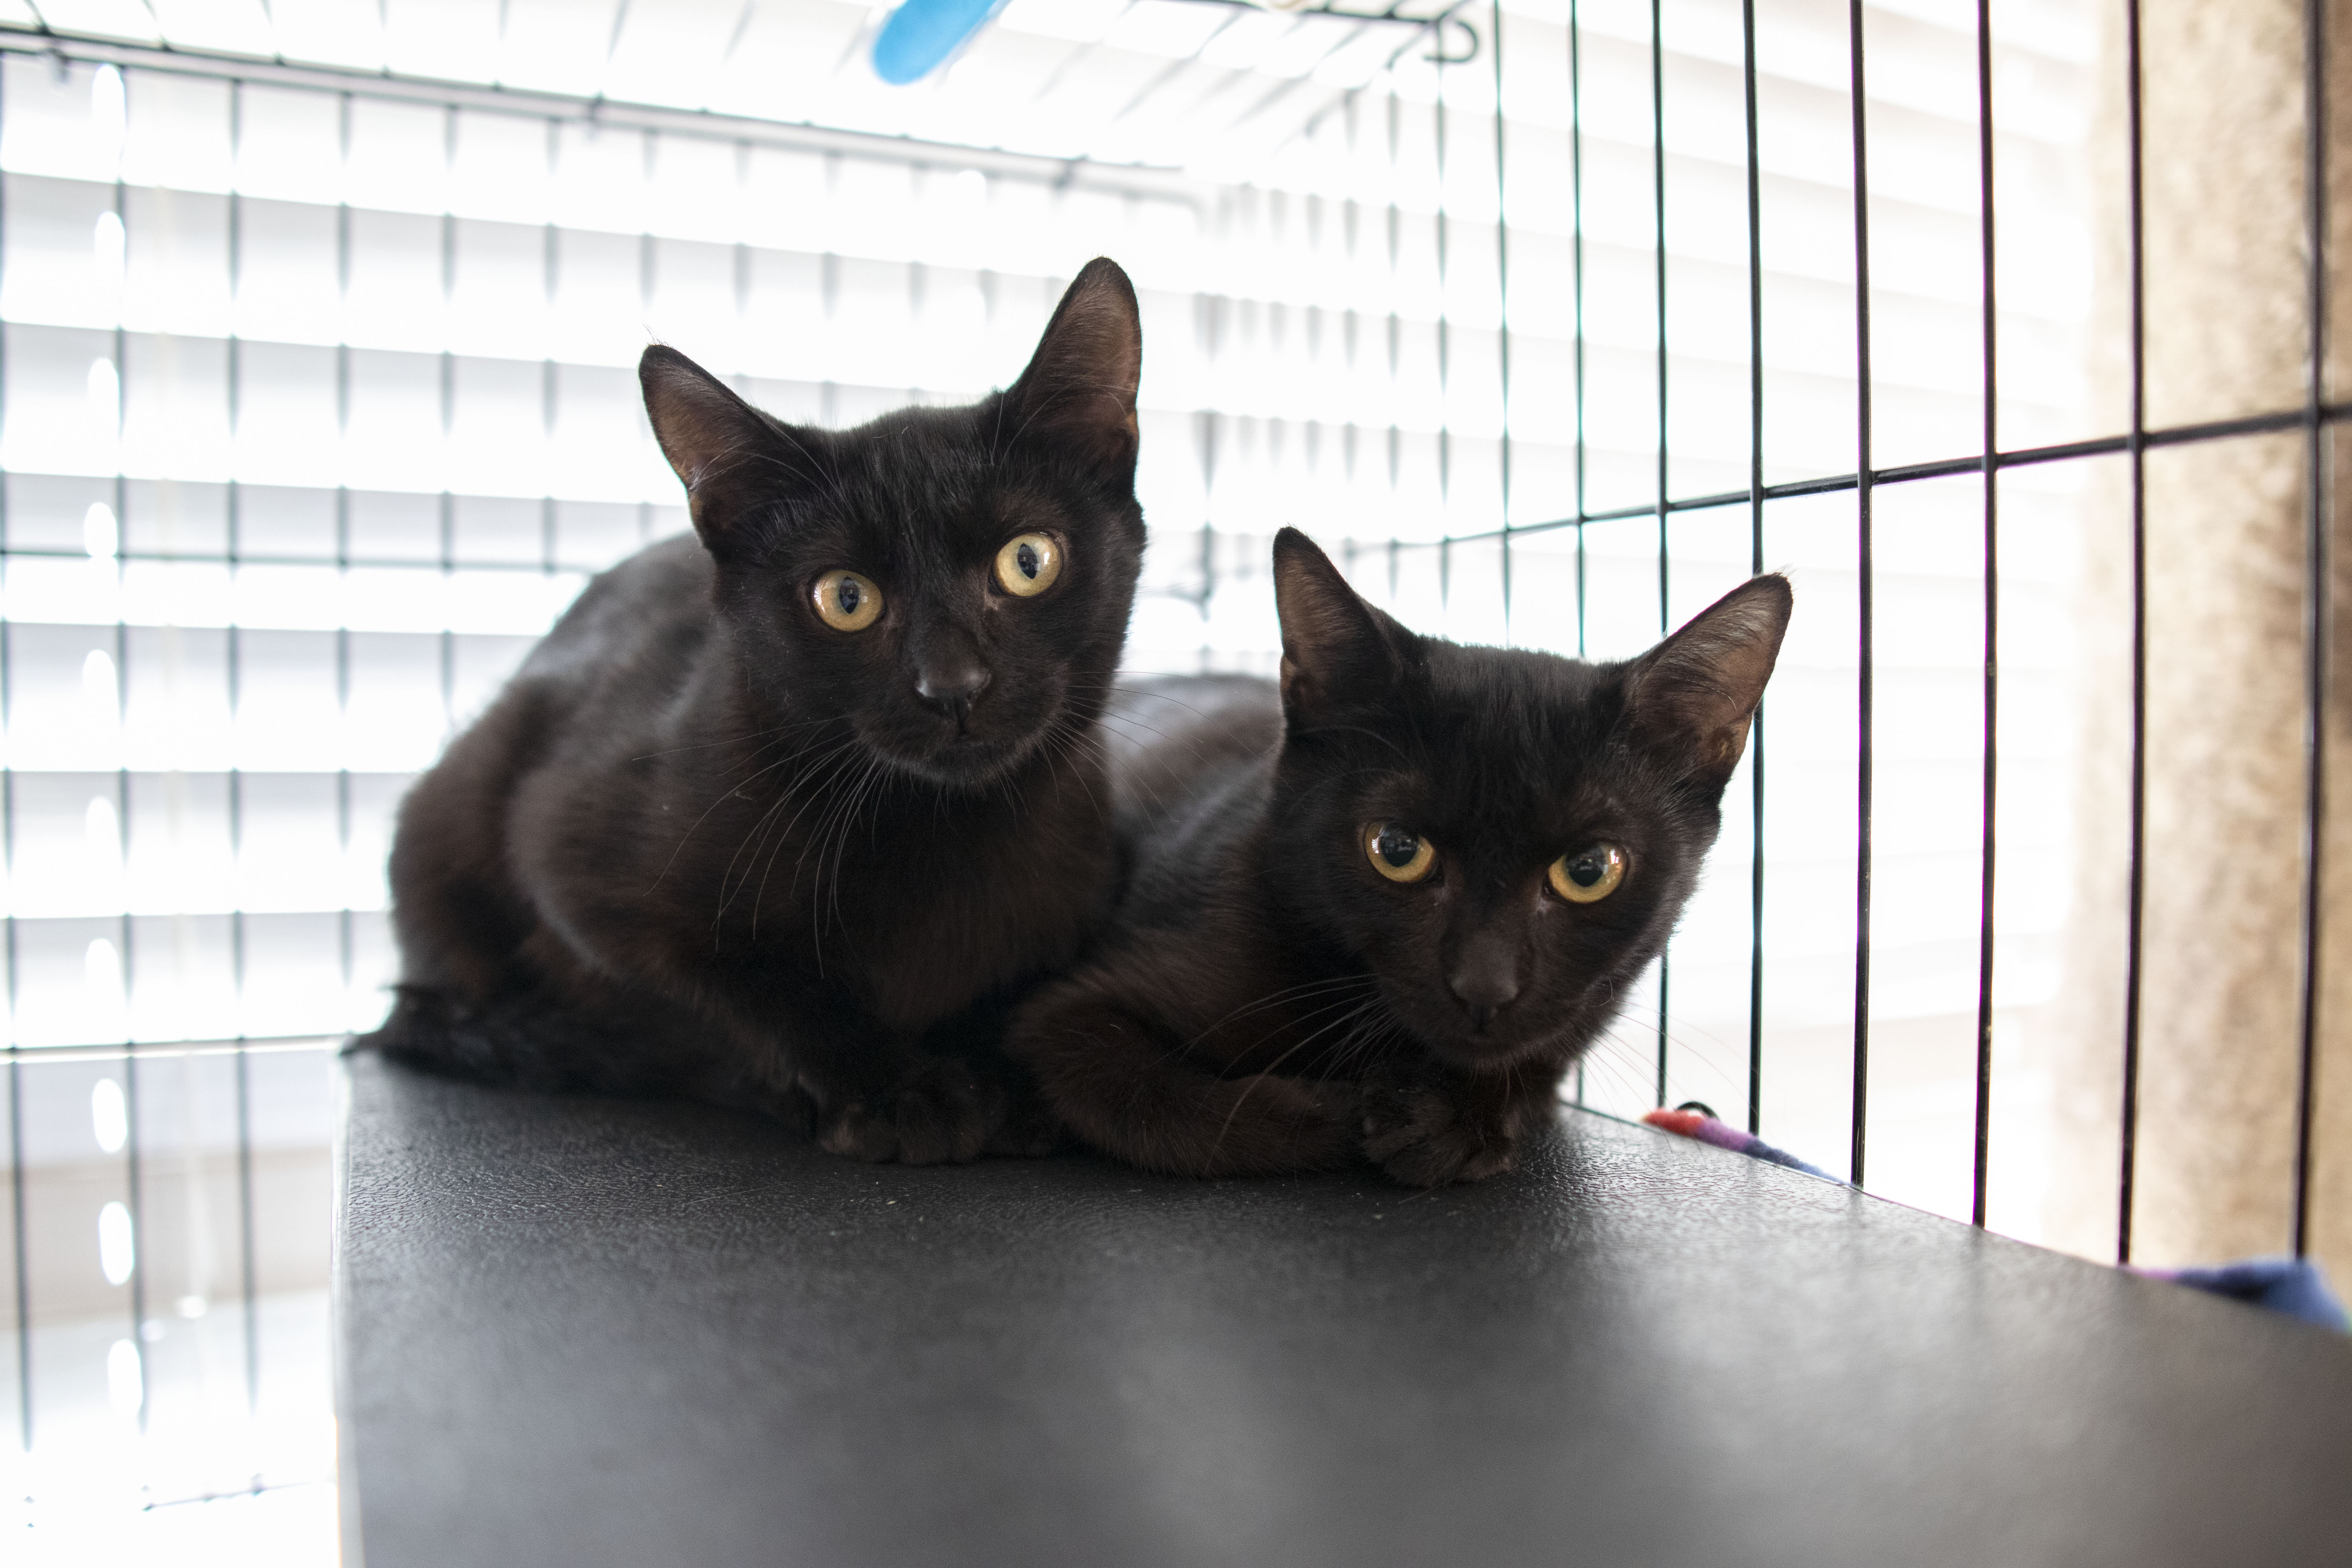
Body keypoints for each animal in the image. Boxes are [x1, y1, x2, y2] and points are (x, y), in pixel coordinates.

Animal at [358, 261, 1148, 1166]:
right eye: (845, 598)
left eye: (1028, 560)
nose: (953, 685)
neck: (945, 832)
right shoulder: (576, 872)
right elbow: (740, 987)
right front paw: (895, 1088)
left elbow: (1013, 987)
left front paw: (1006, 1077)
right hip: (455, 804)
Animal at [1002, 524, 1788, 1175]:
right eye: (1397, 848)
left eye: (1590, 870)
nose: (1484, 988)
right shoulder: (1073, 1017)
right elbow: (1189, 1116)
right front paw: (1361, 1115)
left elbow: (1529, 1072)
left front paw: (1456, 1121)